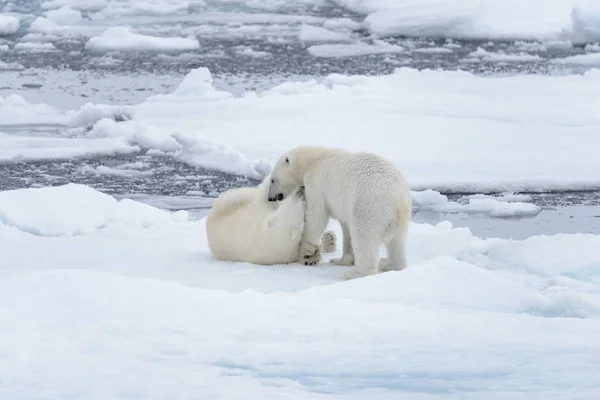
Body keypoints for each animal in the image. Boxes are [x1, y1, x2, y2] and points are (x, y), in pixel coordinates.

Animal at [268, 145, 412, 280]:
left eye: (272, 179)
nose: (270, 198)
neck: (312, 161)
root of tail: (399, 199)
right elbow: (346, 227)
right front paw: (340, 260)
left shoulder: (316, 183)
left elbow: (316, 217)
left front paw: (306, 253)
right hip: (398, 218)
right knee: (396, 243)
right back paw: (389, 264)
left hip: (369, 205)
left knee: (364, 236)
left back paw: (353, 273)